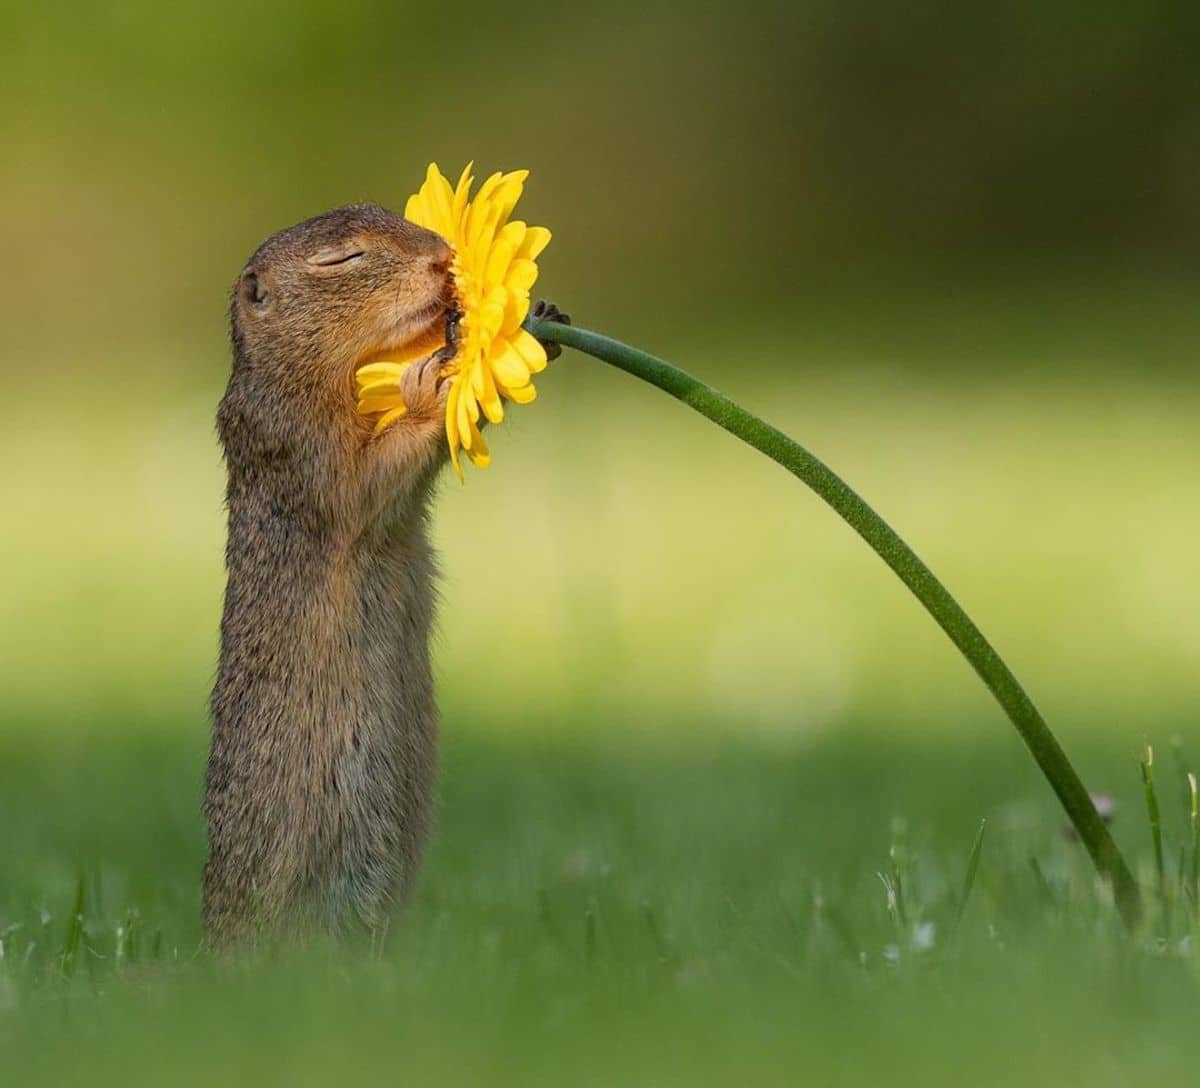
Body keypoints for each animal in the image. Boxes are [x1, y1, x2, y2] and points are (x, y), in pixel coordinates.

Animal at [204, 202, 563, 943]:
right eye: (343, 259)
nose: (441, 258)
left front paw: (536, 316)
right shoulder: (299, 447)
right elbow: (365, 483)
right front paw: (431, 382)